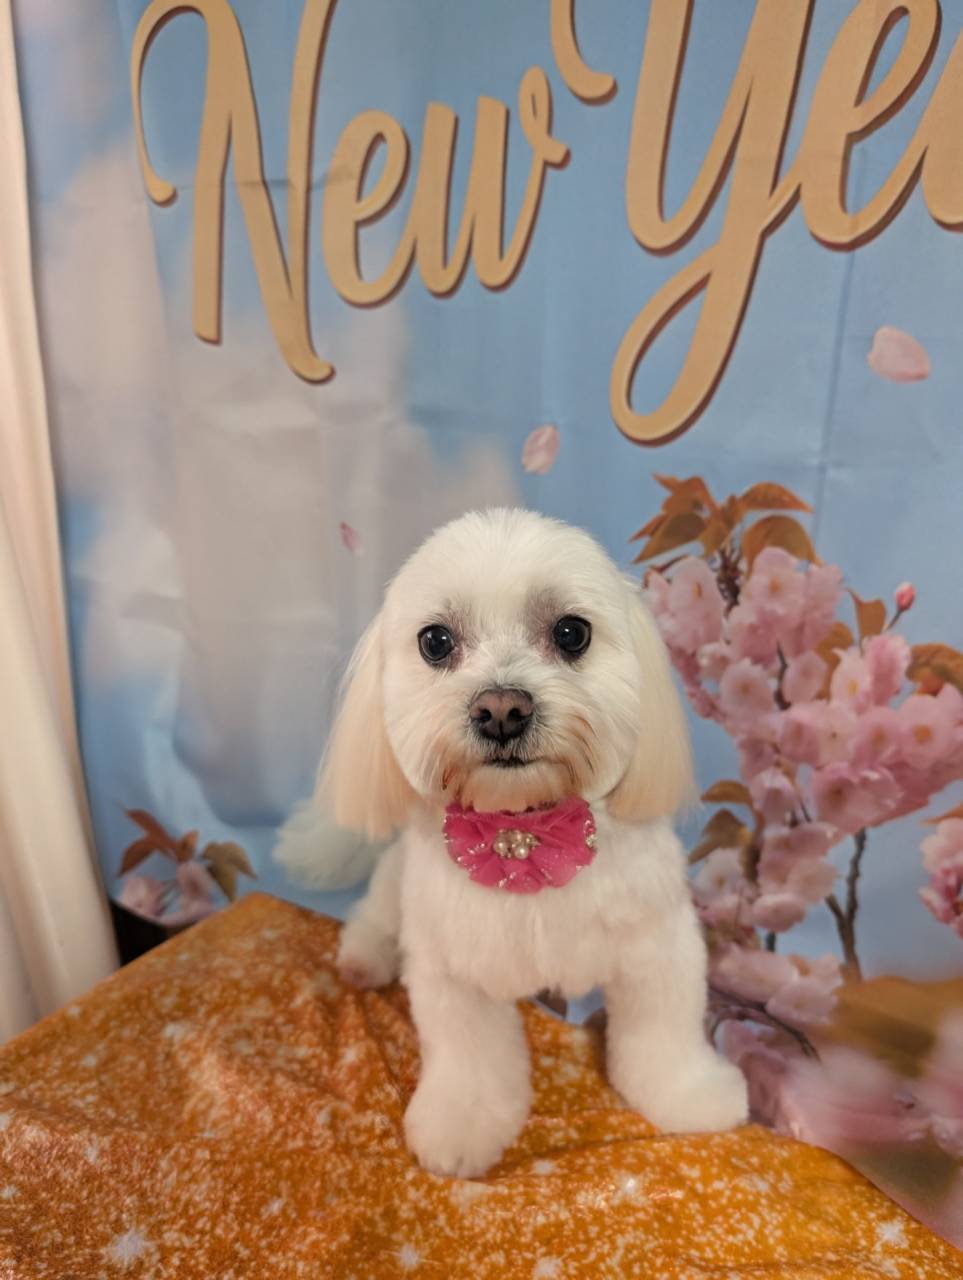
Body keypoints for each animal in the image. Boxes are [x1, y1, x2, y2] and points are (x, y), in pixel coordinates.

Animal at [318, 508, 748, 1177]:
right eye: (435, 641)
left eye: (572, 633)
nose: (501, 709)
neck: (524, 833)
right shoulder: (451, 967)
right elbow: (468, 1055)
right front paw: (460, 1126)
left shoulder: (659, 945)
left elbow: (664, 1031)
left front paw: (690, 1095)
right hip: (399, 886)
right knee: (376, 913)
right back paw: (365, 957)